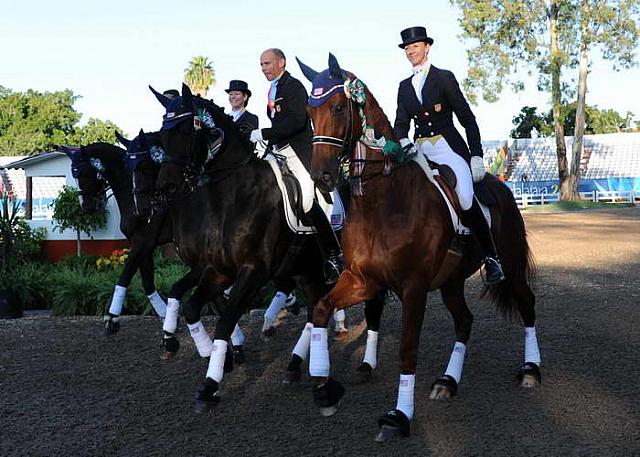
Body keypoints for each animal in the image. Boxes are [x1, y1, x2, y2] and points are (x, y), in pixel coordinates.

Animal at [61, 142, 174, 332]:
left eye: (83, 173)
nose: (87, 206)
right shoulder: (140, 243)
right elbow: (147, 281)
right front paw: (166, 315)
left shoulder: (143, 241)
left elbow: (126, 275)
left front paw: (112, 318)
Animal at [151, 83, 384, 412]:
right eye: (162, 132)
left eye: (185, 130)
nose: (165, 187)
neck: (234, 196)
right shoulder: (220, 269)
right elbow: (192, 306)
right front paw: (213, 356)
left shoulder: (253, 272)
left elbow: (224, 320)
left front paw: (210, 384)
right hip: (309, 269)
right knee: (315, 310)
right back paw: (297, 365)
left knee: (371, 308)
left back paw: (364, 365)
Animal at [300, 55, 540, 440]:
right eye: (309, 111)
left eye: (337, 107)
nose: (320, 177)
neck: (384, 200)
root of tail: (500, 185)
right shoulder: (363, 280)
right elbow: (322, 308)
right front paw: (324, 388)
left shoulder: (412, 288)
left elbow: (407, 350)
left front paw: (399, 415)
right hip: (452, 282)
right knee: (465, 320)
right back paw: (447, 381)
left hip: (511, 266)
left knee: (527, 305)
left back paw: (531, 369)